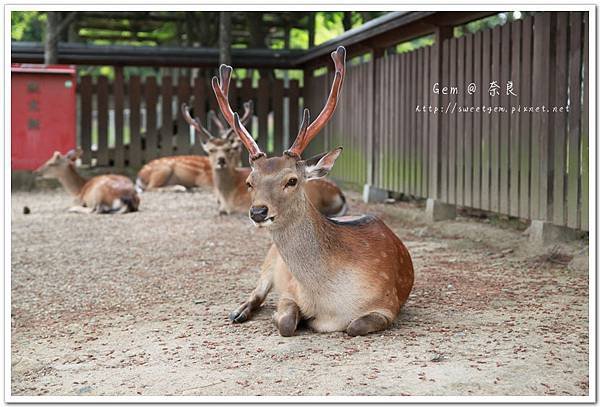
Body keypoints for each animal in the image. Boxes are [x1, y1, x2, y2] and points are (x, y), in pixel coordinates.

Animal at [210, 45, 412, 338]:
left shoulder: (387, 304)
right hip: (269, 259)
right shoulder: (289, 293)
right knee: (257, 292)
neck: (328, 299)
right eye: (250, 182)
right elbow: (285, 322)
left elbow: (355, 326)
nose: (258, 212)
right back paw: (238, 312)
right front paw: (286, 318)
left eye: (292, 180)